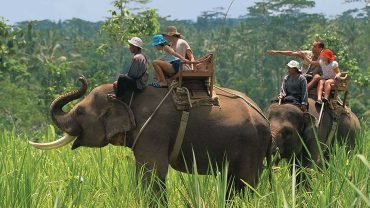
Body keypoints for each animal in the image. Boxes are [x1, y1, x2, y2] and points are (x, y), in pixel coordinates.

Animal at [29, 77, 272, 203]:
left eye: (79, 112)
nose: (81, 79)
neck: (127, 95)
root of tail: (265, 119)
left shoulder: (153, 130)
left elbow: (153, 171)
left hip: (250, 146)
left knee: (243, 183)